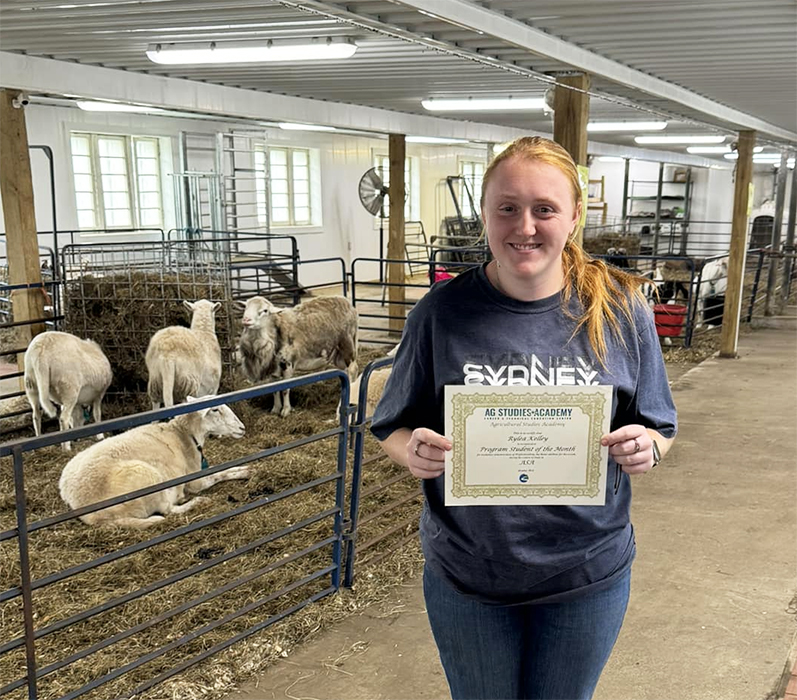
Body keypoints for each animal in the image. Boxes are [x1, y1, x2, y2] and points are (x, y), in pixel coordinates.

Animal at [59, 396, 249, 528]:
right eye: (216, 409)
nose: (242, 427)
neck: (183, 434)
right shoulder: (195, 482)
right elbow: (217, 474)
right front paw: (244, 471)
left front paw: (243, 467)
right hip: (148, 478)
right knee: (168, 511)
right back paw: (197, 501)